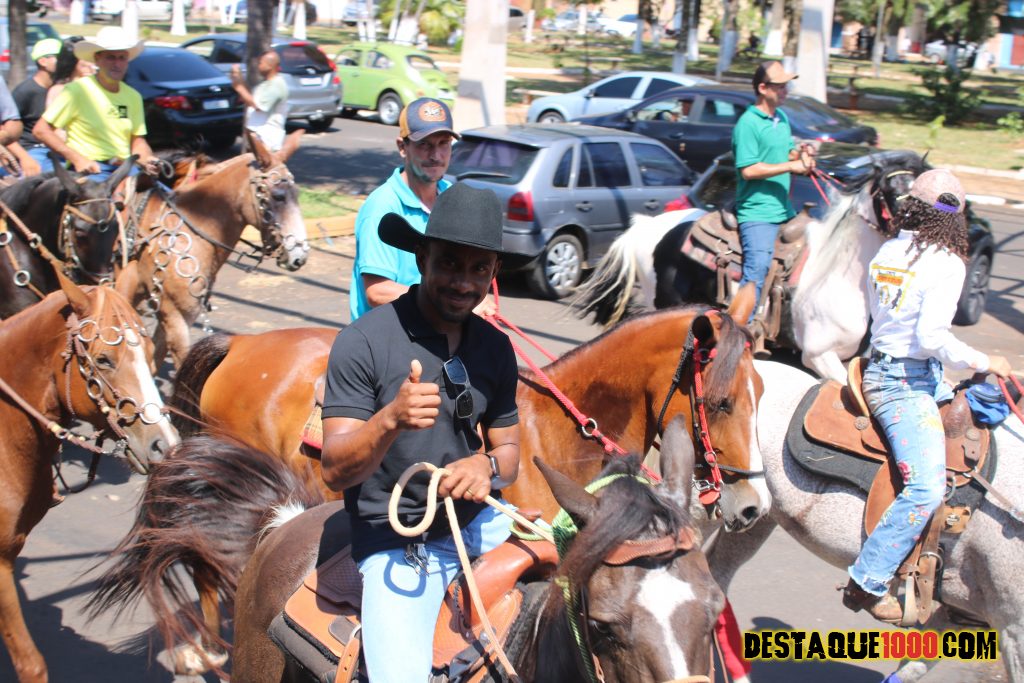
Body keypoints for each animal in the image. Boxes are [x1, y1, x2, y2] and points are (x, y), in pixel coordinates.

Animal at [94, 295, 764, 676]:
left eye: (762, 392)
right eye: (723, 402)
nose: (752, 505)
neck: (551, 435)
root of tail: (241, 342)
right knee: (208, 566)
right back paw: (205, 646)